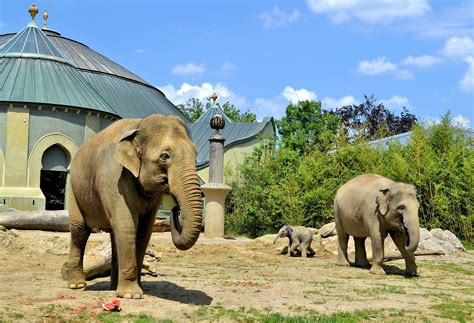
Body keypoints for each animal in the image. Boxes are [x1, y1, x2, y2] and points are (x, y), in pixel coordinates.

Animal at [67, 114, 202, 298]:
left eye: (196, 155)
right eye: (165, 156)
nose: (175, 209)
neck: (139, 126)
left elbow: (144, 230)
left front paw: (139, 289)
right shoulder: (113, 177)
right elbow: (127, 225)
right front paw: (132, 295)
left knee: (114, 234)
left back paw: (113, 286)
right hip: (73, 189)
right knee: (79, 230)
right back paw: (77, 285)